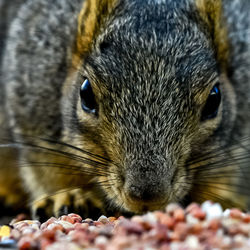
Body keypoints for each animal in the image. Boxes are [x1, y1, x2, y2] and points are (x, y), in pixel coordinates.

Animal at [0, 0, 249, 220]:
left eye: (214, 100)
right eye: (86, 94)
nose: (146, 195)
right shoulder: (33, 118)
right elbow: (45, 171)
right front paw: (70, 195)